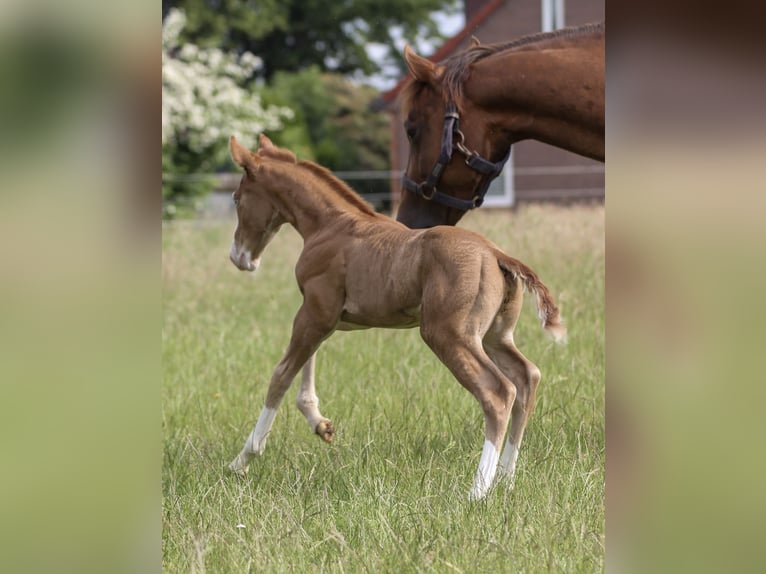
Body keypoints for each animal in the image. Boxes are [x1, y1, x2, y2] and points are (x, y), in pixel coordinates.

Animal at [226, 134, 566, 500]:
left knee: (499, 392)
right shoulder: (325, 316)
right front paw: (321, 424)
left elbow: (282, 373)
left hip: (447, 334)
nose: (239, 257)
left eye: (237, 198)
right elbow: (306, 362)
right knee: (527, 376)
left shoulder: (315, 311)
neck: (329, 225)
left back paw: (477, 491)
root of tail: (497, 254)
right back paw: (505, 480)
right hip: (494, 337)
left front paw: (243, 459)